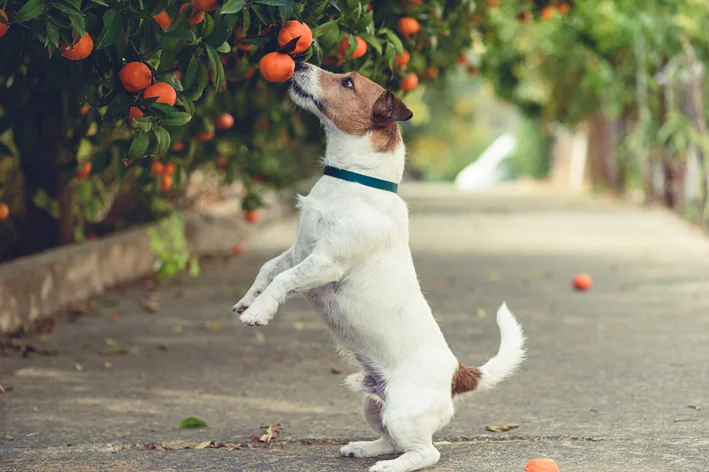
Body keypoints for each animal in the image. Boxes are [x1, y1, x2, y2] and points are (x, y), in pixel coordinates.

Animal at [234, 62, 524, 472]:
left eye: (347, 82)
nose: (301, 62)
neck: (353, 182)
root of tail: (456, 373)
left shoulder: (324, 262)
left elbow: (284, 280)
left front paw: (258, 313)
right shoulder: (298, 249)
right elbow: (268, 269)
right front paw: (248, 300)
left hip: (402, 412)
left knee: (425, 452)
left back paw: (389, 466)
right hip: (374, 407)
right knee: (390, 440)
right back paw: (364, 448)